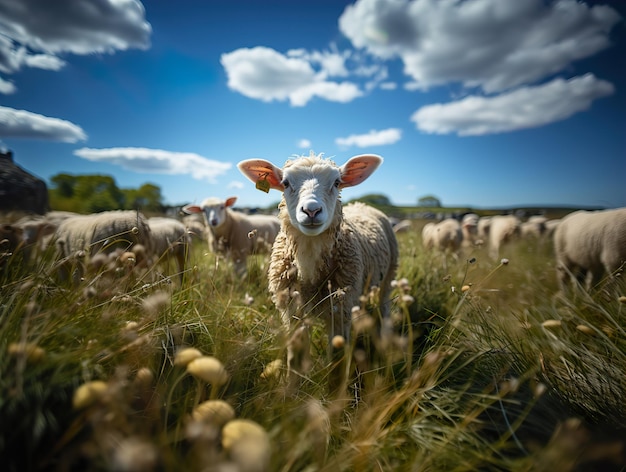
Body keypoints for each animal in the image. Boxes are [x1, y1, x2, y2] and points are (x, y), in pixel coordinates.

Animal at [236, 151, 398, 390]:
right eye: (285, 183)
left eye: (337, 182)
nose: (311, 210)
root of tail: (362, 204)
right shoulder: (292, 310)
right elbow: (294, 357)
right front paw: (290, 391)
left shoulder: (340, 310)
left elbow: (338, 358)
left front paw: (335, 391)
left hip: (389, 275)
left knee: (385, 306)